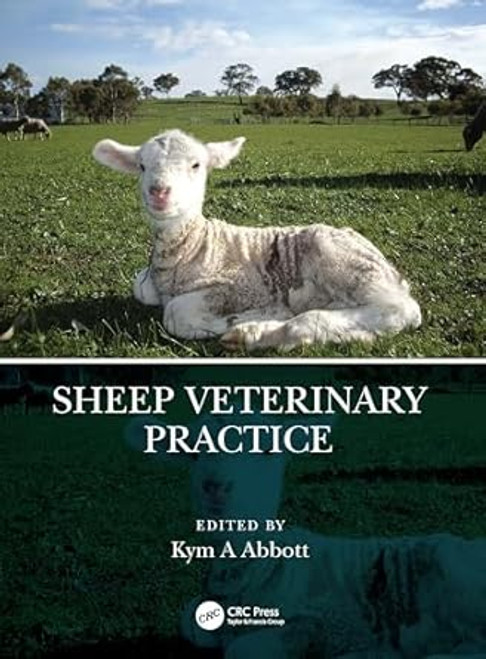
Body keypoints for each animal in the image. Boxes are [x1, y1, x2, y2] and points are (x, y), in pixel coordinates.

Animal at [92, 129, 421, 352]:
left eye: (196, 165)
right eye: (142, 166)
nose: (159, 192)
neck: (191, 248)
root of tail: (390, 270)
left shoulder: (236, 287)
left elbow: (174, 313)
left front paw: (232, 321)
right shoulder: (146, 283)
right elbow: (140, 289)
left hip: (342, 261)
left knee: (400, 310)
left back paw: (256, 331)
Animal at [125, 415, 486, 659]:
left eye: (267, 450)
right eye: (193, 452)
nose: (216, 485)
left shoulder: (320, 622)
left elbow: (242, 648)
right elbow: (190, 622)